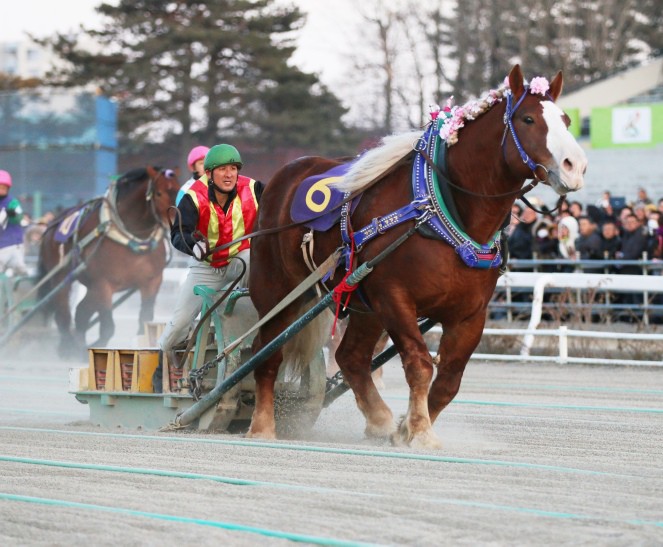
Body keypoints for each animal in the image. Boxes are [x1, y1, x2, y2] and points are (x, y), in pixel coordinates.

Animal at [38, 166, 179, 360]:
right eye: (158, 193)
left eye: (179, 189)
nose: (177, 221)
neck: (131, 235)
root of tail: (51, 225)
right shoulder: (103, 284)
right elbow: (107, 327)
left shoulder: (152, 281)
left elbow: (144, 320)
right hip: (61, 278)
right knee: (64, 314)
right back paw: (68, 347)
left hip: (90, 285)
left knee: (81, 313)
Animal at [248, 65, 588, 450]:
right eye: (528, 118)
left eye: (566, 120)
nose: (575, 166)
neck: (440, 212)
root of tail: (281, 177)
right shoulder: (393, 298)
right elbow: (420, 364)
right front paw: (421, 431)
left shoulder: (470, 312)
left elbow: (449, 379)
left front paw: (405, 428)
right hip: (277, 291)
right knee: (266, 353)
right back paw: (262, 425)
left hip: (363, 306)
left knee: (350, 357)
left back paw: (379, 420)